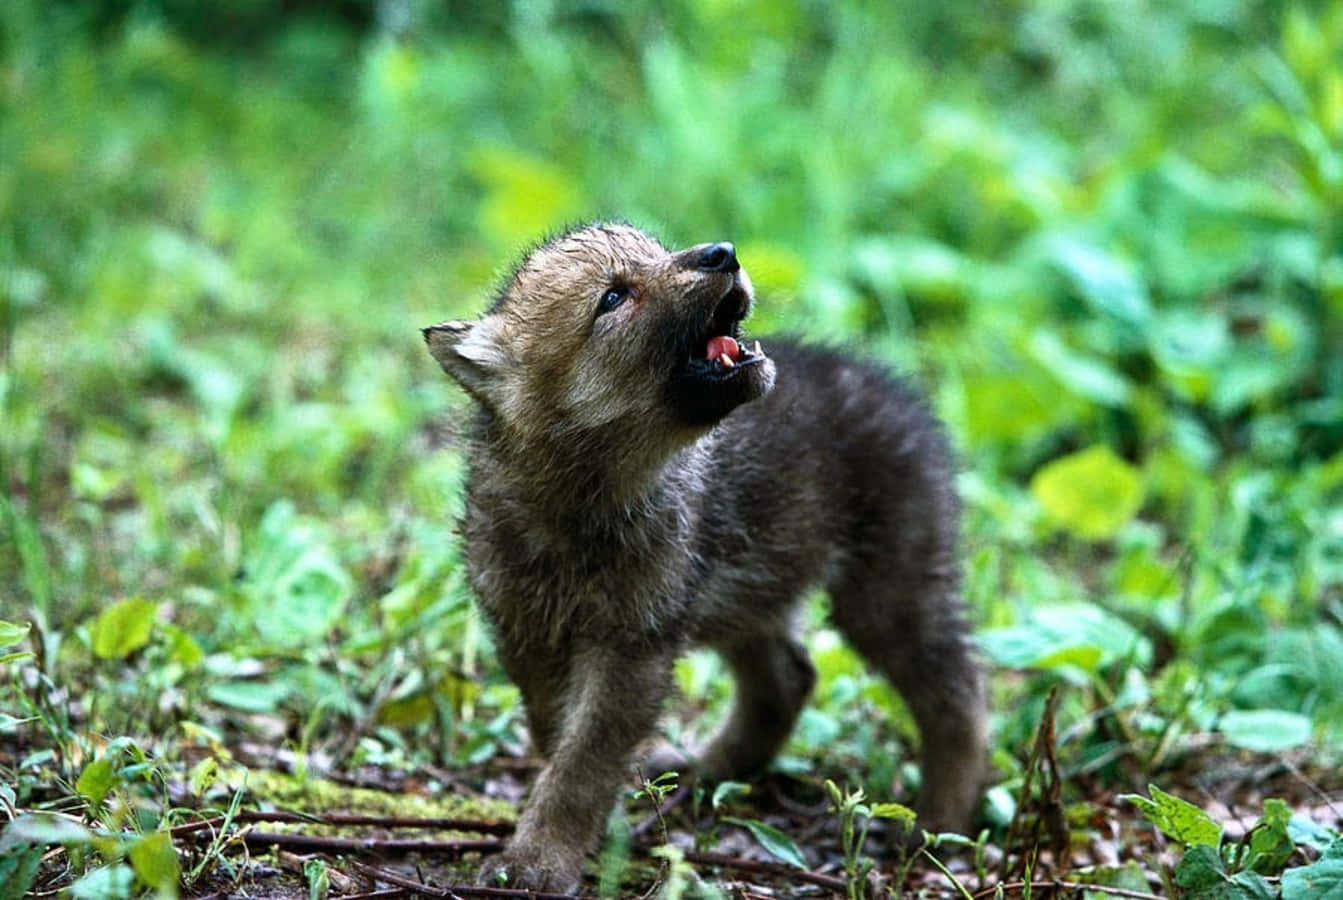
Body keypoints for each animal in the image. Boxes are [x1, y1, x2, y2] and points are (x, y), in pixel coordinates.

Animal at [423, 223, 987, 892]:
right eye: (612, 297)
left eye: (658, 249)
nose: (724, 253)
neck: (583, 505)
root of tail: (893, 387)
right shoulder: (527, 634)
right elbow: (554, 735)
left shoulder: (634, 645)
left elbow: (581, 763)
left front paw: (538, 861)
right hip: (753, 592)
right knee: (790, 679)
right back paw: (705, 772)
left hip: (886, 587)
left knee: (959, 690)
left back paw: (936, 827)